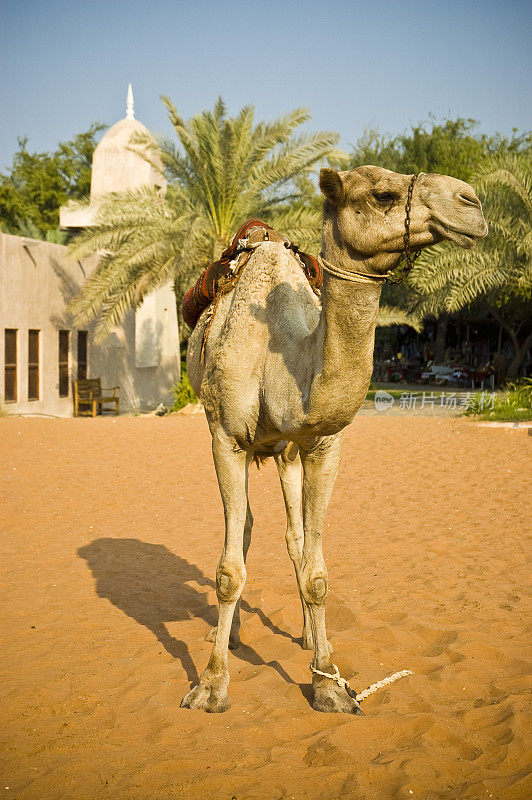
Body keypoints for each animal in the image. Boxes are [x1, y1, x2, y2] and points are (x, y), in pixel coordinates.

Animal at [181, 162, 488, 712]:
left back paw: (306, 637)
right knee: (246, 532)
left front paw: (328, 683)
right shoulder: (226, 438)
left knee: (294, 540)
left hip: (285, 452)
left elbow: (317, 571)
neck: (281, 355)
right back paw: (232, 638)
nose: (471, 202)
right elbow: (228, 571)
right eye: (383, 194)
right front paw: (212, 685)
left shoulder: (324, 445)